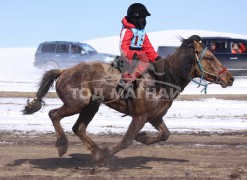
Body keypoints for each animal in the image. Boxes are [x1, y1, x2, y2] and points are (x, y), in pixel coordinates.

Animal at [22, 35, 233, 162]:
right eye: (210, 58)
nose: (229, 78)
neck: (161, 80)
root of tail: (64, 71)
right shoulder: (139, 117)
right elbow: (127, 140)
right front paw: (108, 154)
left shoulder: (155, 117)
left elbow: (165, 134)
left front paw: (143, 137)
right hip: (76, 104)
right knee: (54, 114)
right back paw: (63, 145)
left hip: (91, 107)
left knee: (78, 127)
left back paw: (96, 152)